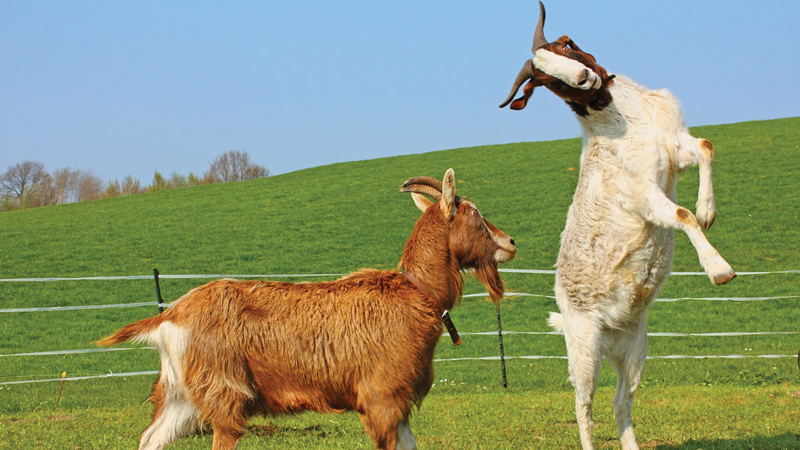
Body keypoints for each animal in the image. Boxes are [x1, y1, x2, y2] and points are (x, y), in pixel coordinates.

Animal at [98, 168, 516, 450]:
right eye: (474, 214)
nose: (511, 242)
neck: (416, 293)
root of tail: (170, 315)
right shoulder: (382, 398)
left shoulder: (397, 404)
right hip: (224, 392)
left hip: (179, 395)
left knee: (151, 438)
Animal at [499, 3, 735, 450]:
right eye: (543, 80)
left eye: (565, 46)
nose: (583, 78)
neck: (622, 116)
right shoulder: (640, 193)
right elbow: (680, 216)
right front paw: (719, 270)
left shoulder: (673, 148)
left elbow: (706, 147)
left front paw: (709, 210)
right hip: (583, 348)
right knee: (584, 406)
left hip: (635, 348)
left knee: (620, 402)